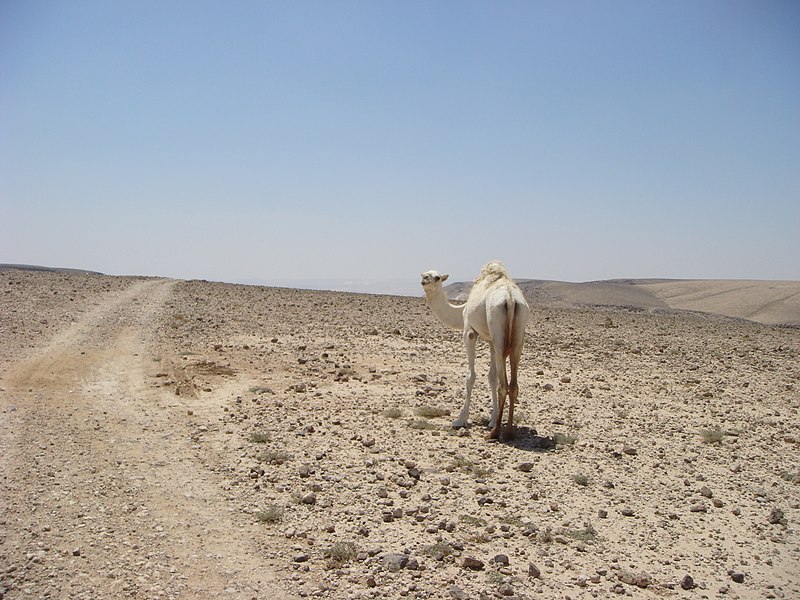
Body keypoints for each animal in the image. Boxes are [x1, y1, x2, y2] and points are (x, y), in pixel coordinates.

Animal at [418, 260, 532, 438]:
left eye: (437, 277)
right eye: (424, 274)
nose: (424, 280)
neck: (461, 310)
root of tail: (511, 299)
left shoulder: (469, 332)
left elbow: (471, 376)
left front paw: (460, 419)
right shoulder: (490, 340)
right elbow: (492, 377)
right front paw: (492, 418)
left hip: (499, 334)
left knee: (504, 385)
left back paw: (495, 433)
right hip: (517, 337)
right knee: (512, 384)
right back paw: (508, 431)